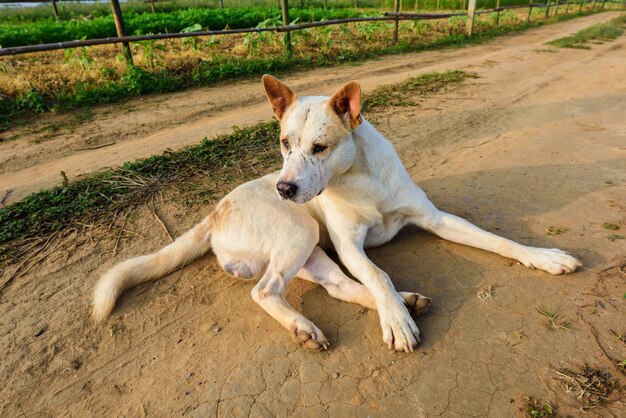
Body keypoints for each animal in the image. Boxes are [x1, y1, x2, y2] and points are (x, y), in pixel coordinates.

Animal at [92, 75, 580, 352]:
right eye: (285, 144)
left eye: (320, 147)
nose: (284, 189)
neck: (360, 177)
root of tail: (215, 212)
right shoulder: (348, 244)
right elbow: (379, 273)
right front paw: (396, 324)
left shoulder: (437, 220)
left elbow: (496, 239)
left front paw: (543, 257)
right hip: (302, 231)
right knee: (267, 291)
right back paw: (320, 324)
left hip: (311, 251)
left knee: (340, 287)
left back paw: (405, 302)